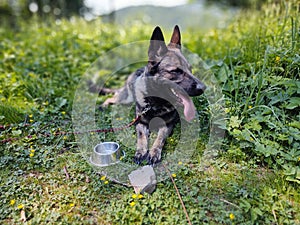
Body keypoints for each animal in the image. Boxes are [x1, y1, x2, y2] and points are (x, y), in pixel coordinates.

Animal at [96, 25, 206, 165]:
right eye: (175, 71)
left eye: (190, 70)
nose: (203, 88)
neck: (156, 103)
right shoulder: (140, 122)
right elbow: (141, 137)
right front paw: (141, 152)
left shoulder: (167, 125)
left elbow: (160, 138)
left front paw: (154, 152)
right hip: (126, 98)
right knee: (112, 98)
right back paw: (103, 106)